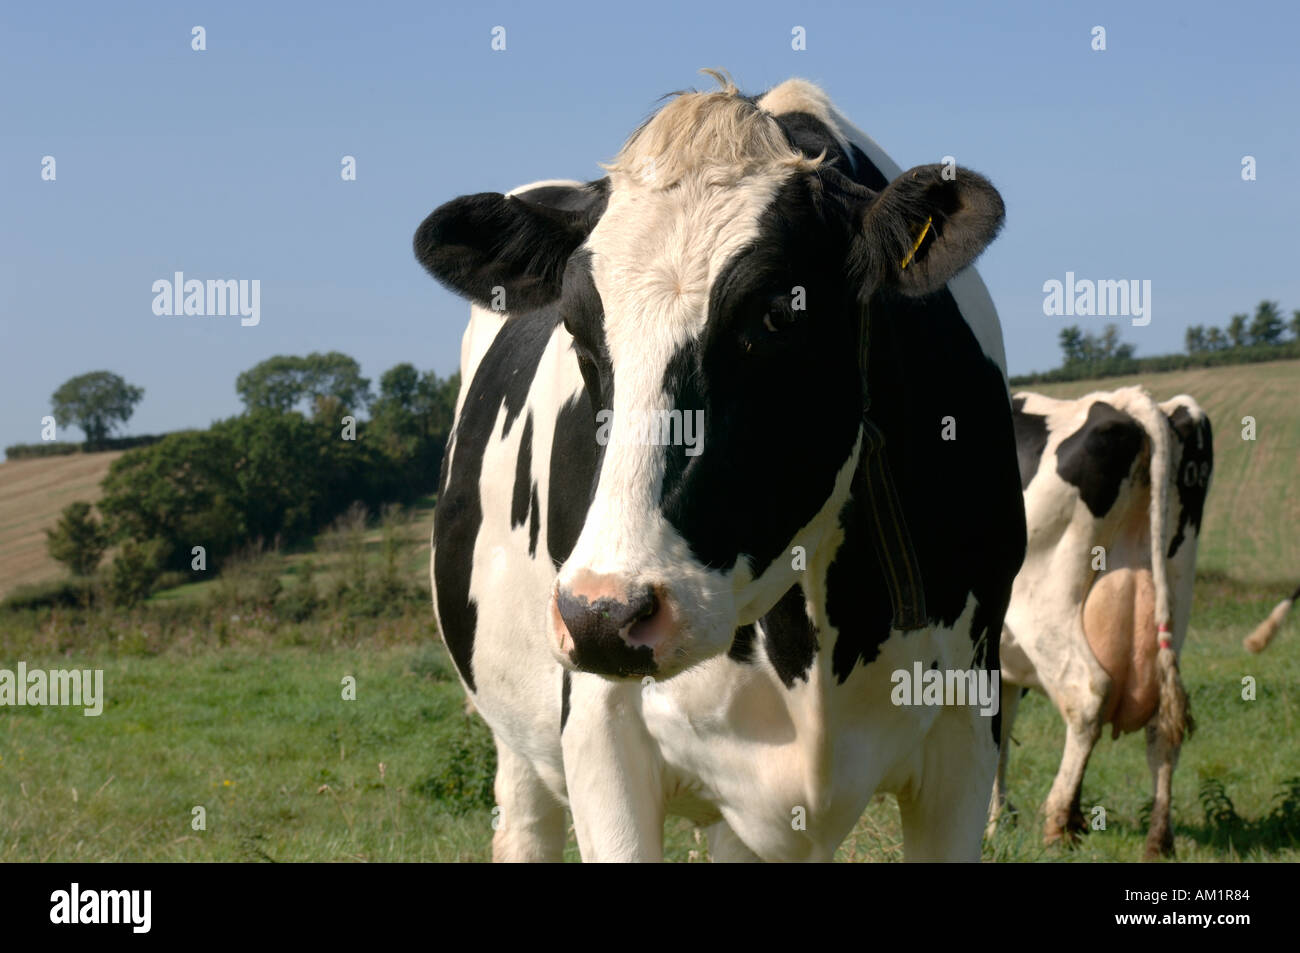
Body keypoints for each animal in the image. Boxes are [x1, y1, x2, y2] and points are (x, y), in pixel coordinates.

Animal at [415, 72, 1025, 862]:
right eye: (578, 330)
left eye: (778, 314)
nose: (606, 614)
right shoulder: (599, 724)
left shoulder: (966, 730)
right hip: (518, 726)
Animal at [988, 386, 1213, 859]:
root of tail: (1130, 403)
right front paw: (992, 827)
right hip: (1174, 595)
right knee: (1163, 724)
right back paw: (1158, 840)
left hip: (1044, 606)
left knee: (1088, 691)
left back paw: (1059, 824)